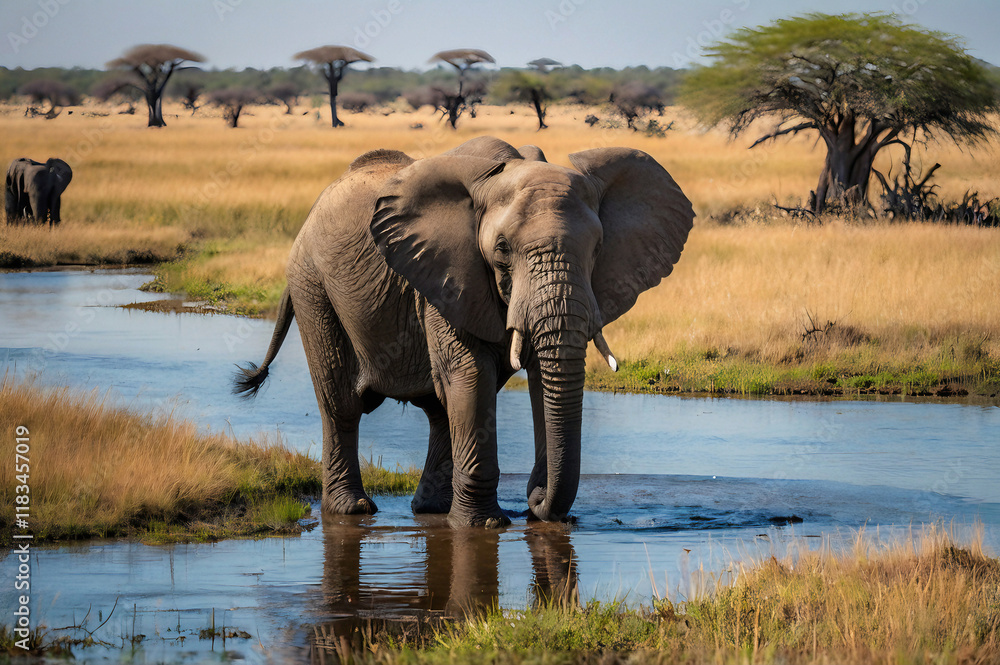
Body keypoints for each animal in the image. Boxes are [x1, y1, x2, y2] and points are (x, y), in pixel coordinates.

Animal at [235, 136, 693, 527]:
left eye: (598, 248)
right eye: (502, 248)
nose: (536, 503)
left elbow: (535, 380)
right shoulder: (446, 273)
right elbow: (471, 374)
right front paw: (484, 526)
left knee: (439, 410)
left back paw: (432, 510)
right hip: (312, 284)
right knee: (341, 403)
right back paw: (354, 510)